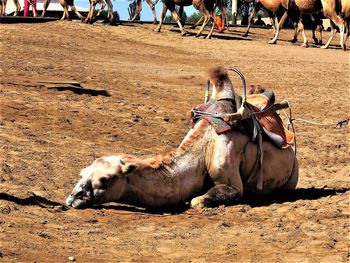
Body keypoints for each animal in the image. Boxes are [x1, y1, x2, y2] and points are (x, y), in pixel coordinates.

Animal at [65, 66, 298, 210]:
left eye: (106, 179)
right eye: (81, 173)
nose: (72, 197)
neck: (201, 150)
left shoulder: (230, 180)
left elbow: (197, 201)